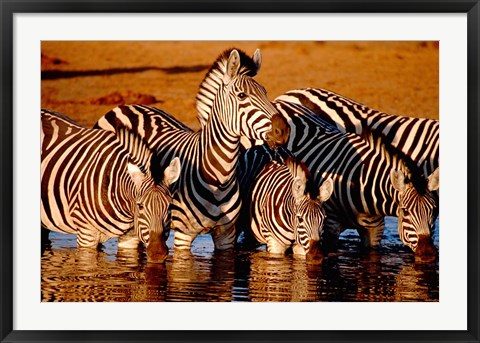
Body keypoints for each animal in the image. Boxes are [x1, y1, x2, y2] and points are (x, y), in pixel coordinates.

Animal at [94, 48, 288, 253]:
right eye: (242, 95)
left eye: (265, 92)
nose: (283, 129)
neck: (219, 178)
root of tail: (124, 106)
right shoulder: (182, 236)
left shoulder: (226, 234)